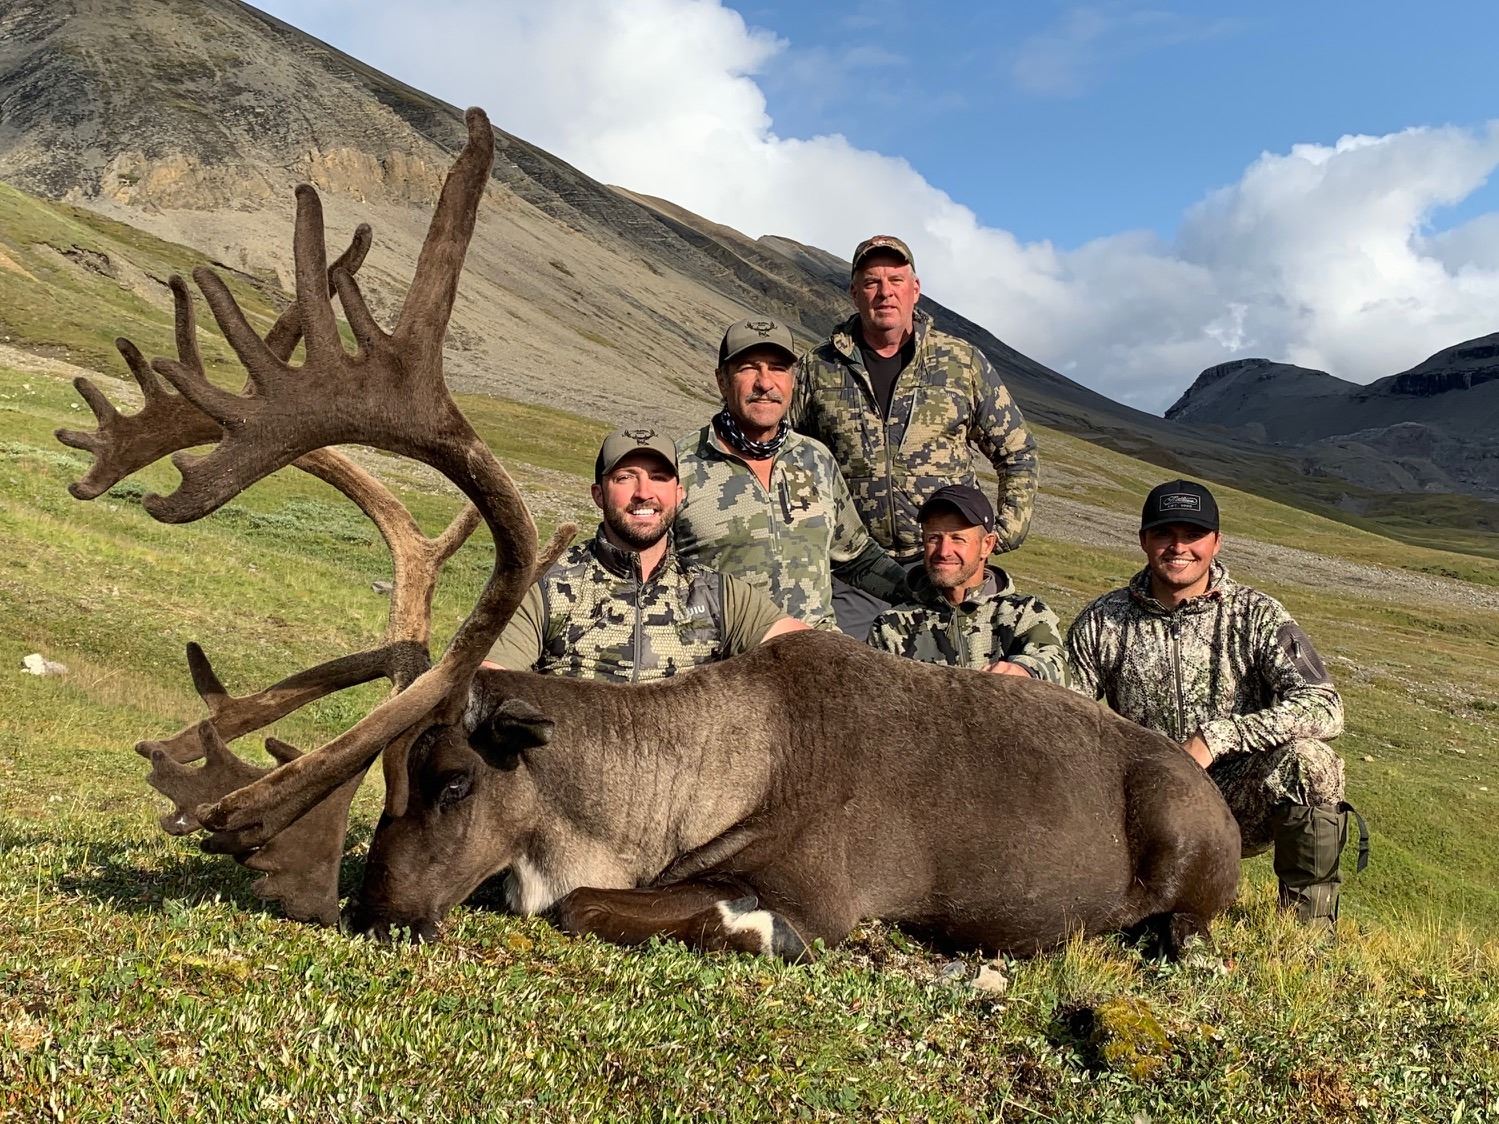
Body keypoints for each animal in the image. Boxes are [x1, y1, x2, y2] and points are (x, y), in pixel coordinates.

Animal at [56, 107, 1241, 960]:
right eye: (384, 779)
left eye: (453, 779)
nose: (375, 913)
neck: (691, 771)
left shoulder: (813, 881)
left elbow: (591, 902)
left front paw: (786, 936)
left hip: (1186, 847)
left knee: (1178, 926)